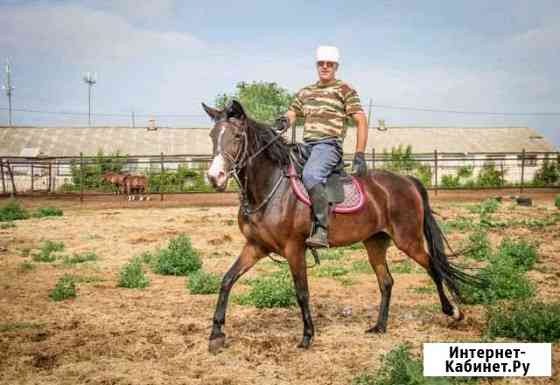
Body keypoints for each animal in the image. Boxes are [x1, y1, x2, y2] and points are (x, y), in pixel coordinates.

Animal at [201, 101, 482, 352]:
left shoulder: (294, 249)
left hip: (408, 240)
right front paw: (216, 336)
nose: (215, 177)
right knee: (387, 281)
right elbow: (226, 281)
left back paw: (453, 312)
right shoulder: (256, 246)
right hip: (375, 242)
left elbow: (302, 292)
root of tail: (407, 180)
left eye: (237, 136)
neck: (272, 189)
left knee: (433, 268)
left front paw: (307, 337)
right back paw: (379, 327)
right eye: (213, 135)